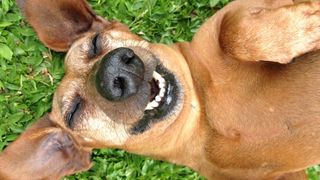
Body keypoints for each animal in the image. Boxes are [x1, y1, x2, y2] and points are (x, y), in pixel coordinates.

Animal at [0, 0, 320, 179]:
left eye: (95, 43)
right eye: (74, 111)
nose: (114, 72)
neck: (202, 112)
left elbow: (232, 30)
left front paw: (299, 27)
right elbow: (233, 31)